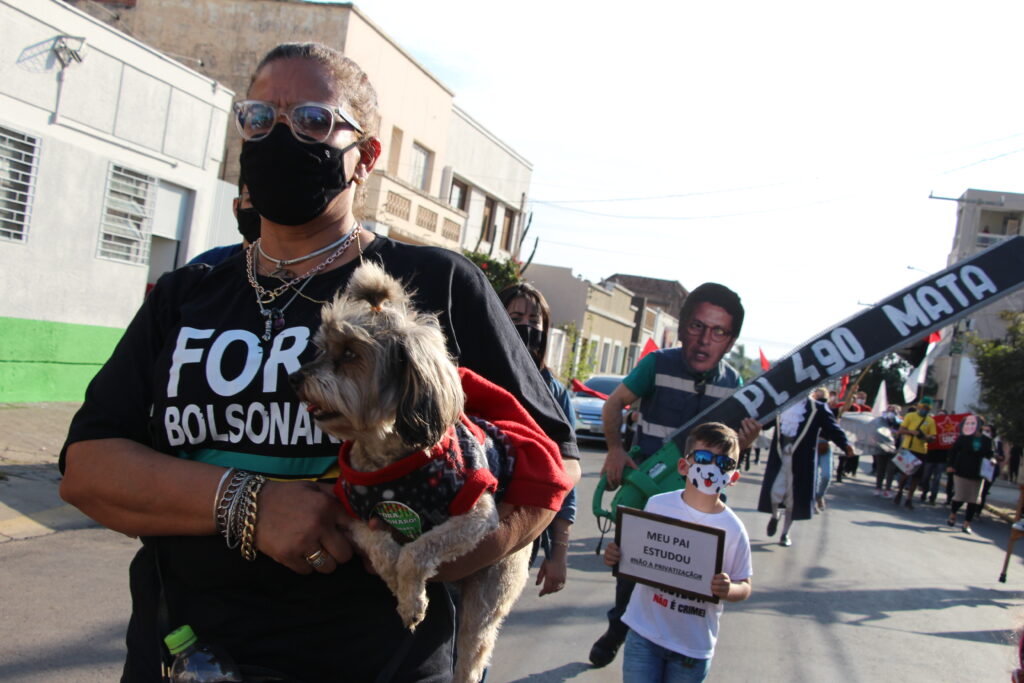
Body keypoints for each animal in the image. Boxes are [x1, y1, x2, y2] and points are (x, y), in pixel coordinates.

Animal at [292, 264, 536, 683]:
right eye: (321, 348)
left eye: (350, 354)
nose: (294, 378)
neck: (386, 459)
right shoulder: (352, 516)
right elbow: (383, 549)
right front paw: (401, 590)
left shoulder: (474, 517)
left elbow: (417, 551)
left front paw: (411, 598)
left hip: (486, 596)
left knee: (471, 652)